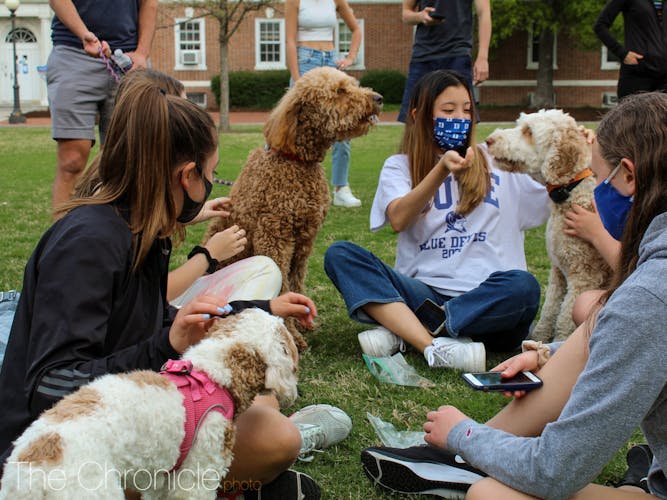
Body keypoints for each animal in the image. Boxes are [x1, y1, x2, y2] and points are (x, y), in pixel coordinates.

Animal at [204, 66, 383, 351]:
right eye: (339, 91)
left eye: (354, 85)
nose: (378, 98)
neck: (297, 163)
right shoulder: (274, 239)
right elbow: (283, 288)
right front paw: (292, 333)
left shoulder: (304, 242)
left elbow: (296, 283)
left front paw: (301, 319)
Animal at [485, 109, 612, 342]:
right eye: (520, 124)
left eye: (529, 131)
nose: (490, 140)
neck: (572, 191)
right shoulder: (558, 272)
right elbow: (550, 310)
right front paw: (539, 338)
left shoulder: (583, 278)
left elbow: (565, 320)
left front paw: (558, 343)